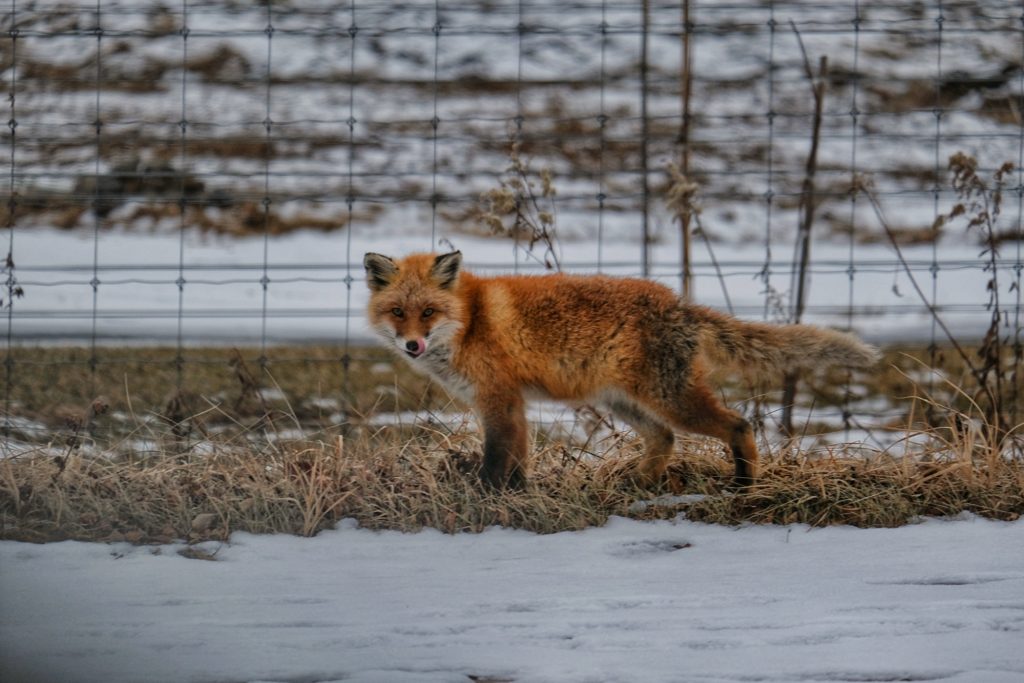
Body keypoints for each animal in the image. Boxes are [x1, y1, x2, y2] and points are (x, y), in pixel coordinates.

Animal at [363, 250, 879, 490]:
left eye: (429, 312)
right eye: (398, 313)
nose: (412, 345)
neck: (471, 321)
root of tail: (679, 304)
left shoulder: (499, 400)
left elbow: (497, 459)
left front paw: (488, 498)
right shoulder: (509, 403)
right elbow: (518, 459)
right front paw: (515, 495)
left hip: (670, 400)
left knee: (738, 425)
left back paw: (743, 486)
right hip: (623, 402)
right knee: (664, 439)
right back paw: (639, 481)